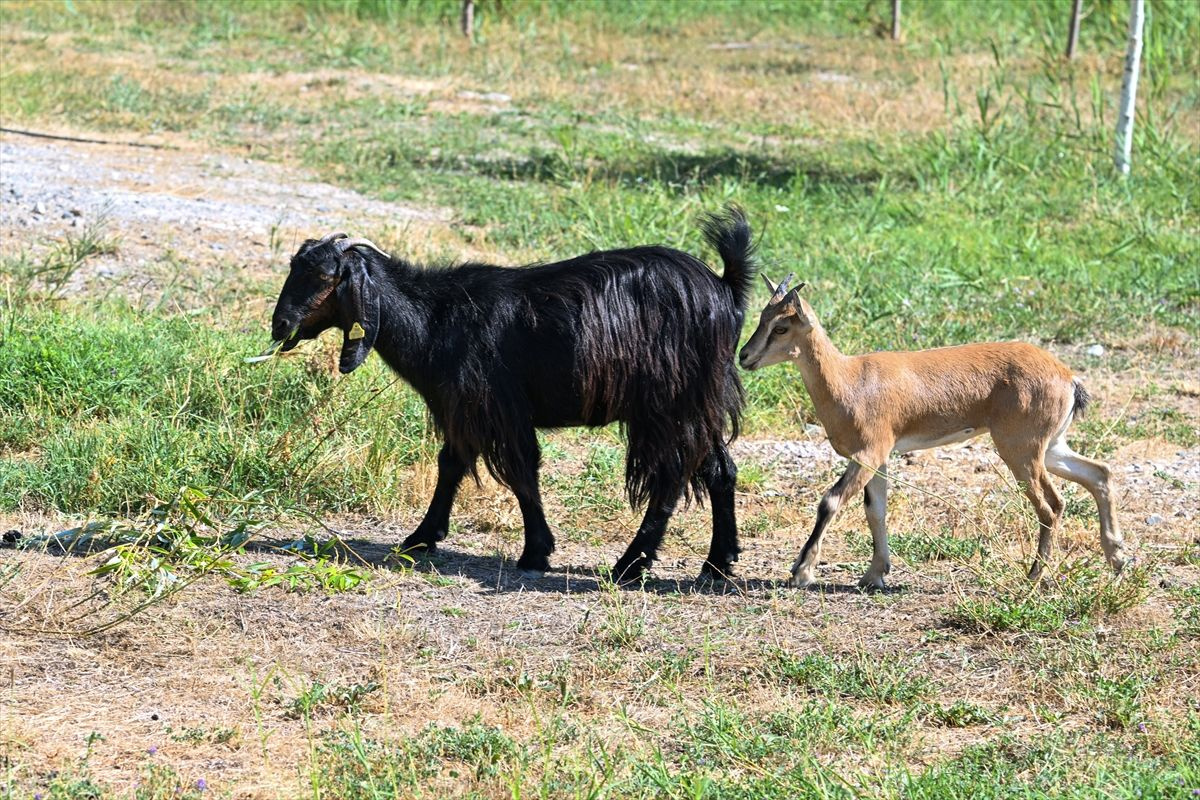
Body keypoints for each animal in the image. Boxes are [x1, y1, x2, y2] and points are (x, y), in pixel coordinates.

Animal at [268, 206, 753, 582]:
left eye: (323, 276)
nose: (280, 325)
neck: (437, 317)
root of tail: (725, 288)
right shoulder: (463, 410)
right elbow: (451, 465)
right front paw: (421, 538)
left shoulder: (496, 406)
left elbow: (522, 473)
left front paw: (535, 552)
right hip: (698, 403)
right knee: (720, 469)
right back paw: (718, 563)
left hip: (668, 403)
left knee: (671, 476)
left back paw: (631, 565)